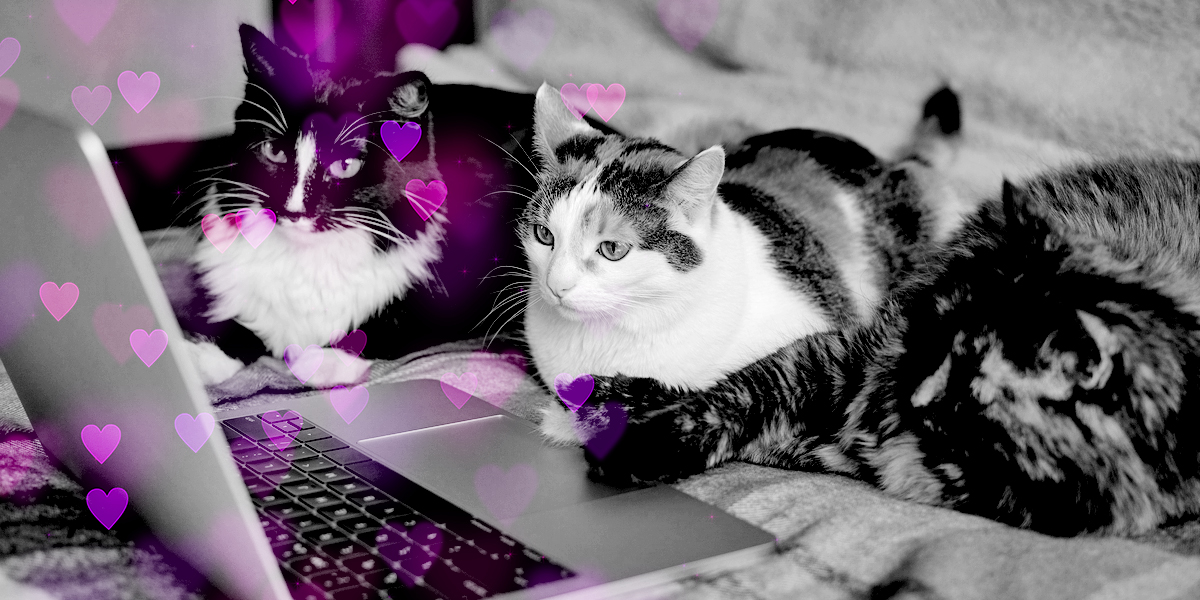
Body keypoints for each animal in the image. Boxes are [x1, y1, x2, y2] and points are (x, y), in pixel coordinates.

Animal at [564, 154, 1200, 535]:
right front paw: (632, 422)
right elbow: (730, 393)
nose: (910, 392)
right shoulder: (842, 358)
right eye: (929, 330)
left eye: (971, 385)